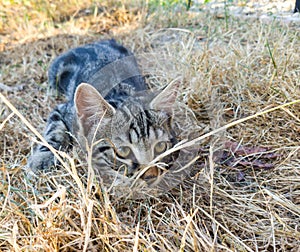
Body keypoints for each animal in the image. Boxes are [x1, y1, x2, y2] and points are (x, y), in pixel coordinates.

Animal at [27, 38, 179, 186]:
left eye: (160, 146)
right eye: (123, 151)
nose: (150, 176)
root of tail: (99, 41)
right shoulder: (62, 110)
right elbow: (54, 132)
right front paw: (41, 159)